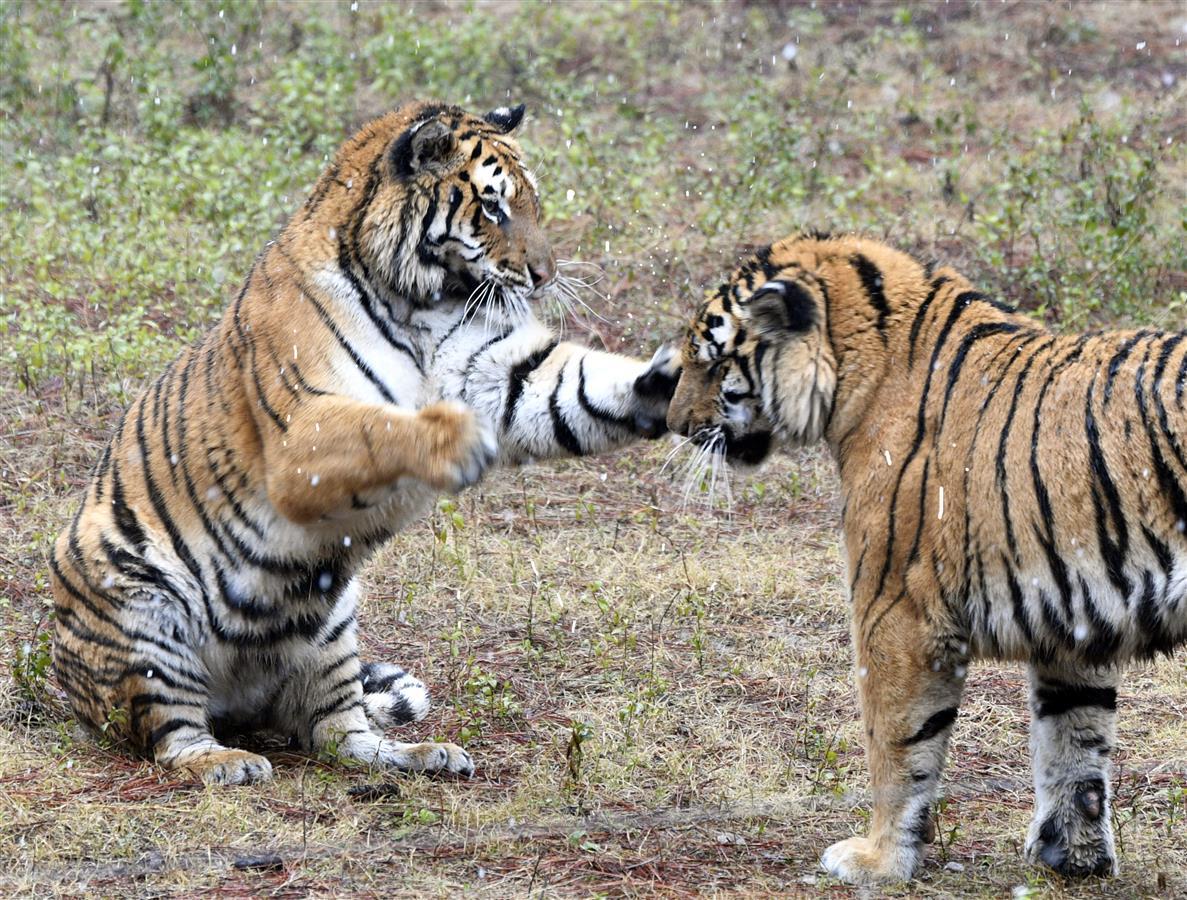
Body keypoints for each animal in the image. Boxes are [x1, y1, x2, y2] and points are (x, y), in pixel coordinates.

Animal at [51, 102, 683, 788]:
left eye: (533, 203)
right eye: (493, 207)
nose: (546, 278)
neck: (425, 301)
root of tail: (235, 704)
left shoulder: (500, 368)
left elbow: (580, 387)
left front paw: (675, 379)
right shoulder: (302, 434)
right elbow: (381, 426)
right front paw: (456, 437)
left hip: (333, 628)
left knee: (338, 735)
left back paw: (422, 754)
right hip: (142, 610)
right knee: (171, 736)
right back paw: (226, 762)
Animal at [664, 233, 1182, 888]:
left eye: (710, 362)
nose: (673, 424)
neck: (856, 378)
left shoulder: (895, 611)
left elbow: (894, 744)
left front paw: (878, 860)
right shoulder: (1073, 621)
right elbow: (1073, 745)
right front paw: (1072, 858)